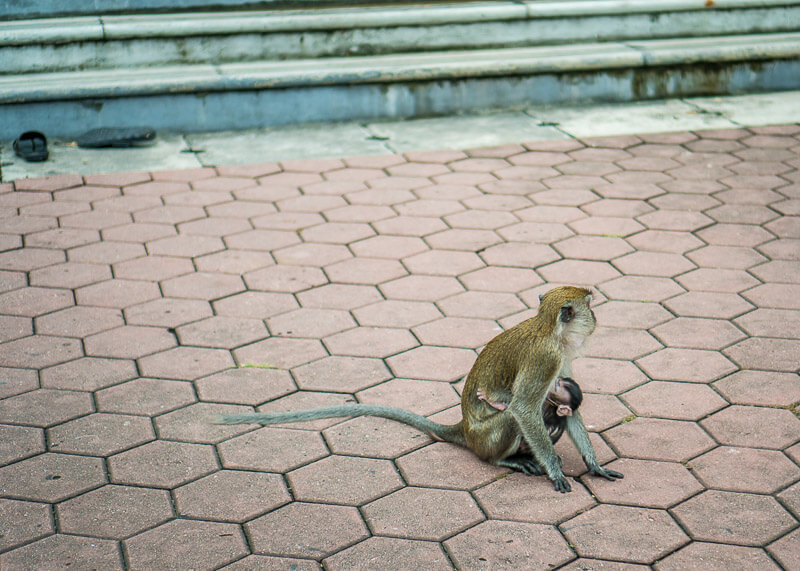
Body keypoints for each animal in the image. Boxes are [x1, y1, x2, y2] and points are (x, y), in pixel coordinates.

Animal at [214, 286, 624, 492]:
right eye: (590, 307)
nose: (597, 319)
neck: (547, 329)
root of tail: (464, 430)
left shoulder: (561, 362)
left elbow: (566, 406)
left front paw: (594, 465)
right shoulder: (547, 359)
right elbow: (524, 408)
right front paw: (556, 472)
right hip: (486, 439)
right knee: (509, 417)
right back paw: (503, 460)